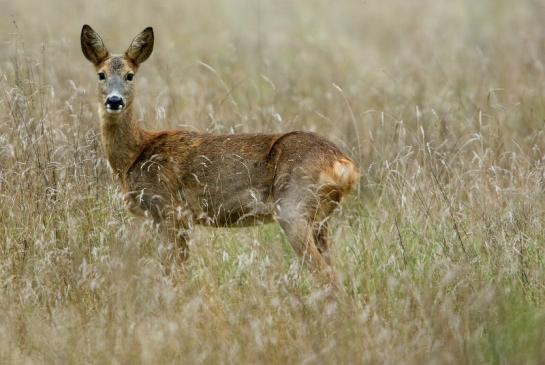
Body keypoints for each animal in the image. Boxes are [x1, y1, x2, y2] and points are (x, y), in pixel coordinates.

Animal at [79, 24, 356, 284]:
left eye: (130, 75)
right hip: (321, 220)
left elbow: (174, 272)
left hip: (293, 208)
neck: (135, 155)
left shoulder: (170, 210)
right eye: (101, 74)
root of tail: (345, 166)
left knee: (325, 275)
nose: (114, 101)